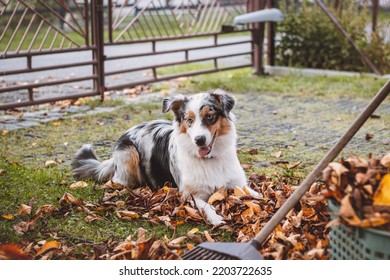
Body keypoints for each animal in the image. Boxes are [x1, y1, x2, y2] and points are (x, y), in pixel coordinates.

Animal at [71, 89, 258, 225]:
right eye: (189, 120)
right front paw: (217, 218)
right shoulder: (190, 194)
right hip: (128, 153)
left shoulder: (238, 183)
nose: (199, 140)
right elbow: (206, 206)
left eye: (210, 116)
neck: (210, 160)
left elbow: (256, 194)